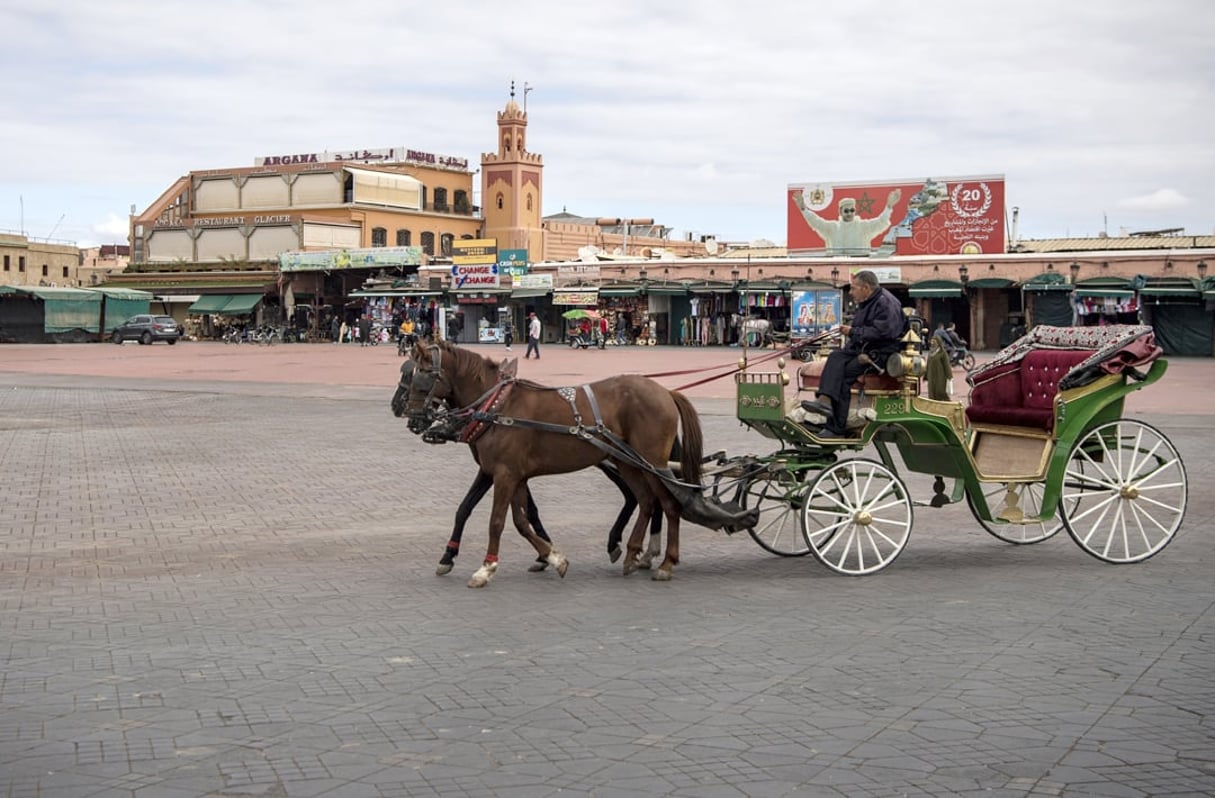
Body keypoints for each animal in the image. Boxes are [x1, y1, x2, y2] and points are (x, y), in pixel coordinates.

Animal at [403, 337, 709, 585]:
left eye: (423, 375)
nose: (411, 417)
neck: (499, 406)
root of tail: (666, 392)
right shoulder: (508, 474)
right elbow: (519, 520)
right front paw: (552, 557)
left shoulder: (505, 474)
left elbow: (497, 521)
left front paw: (486, 567)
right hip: (628, 463)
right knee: (646, 501)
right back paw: (633, 554)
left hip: (653, 462)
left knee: (669, 505)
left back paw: (666, 562)